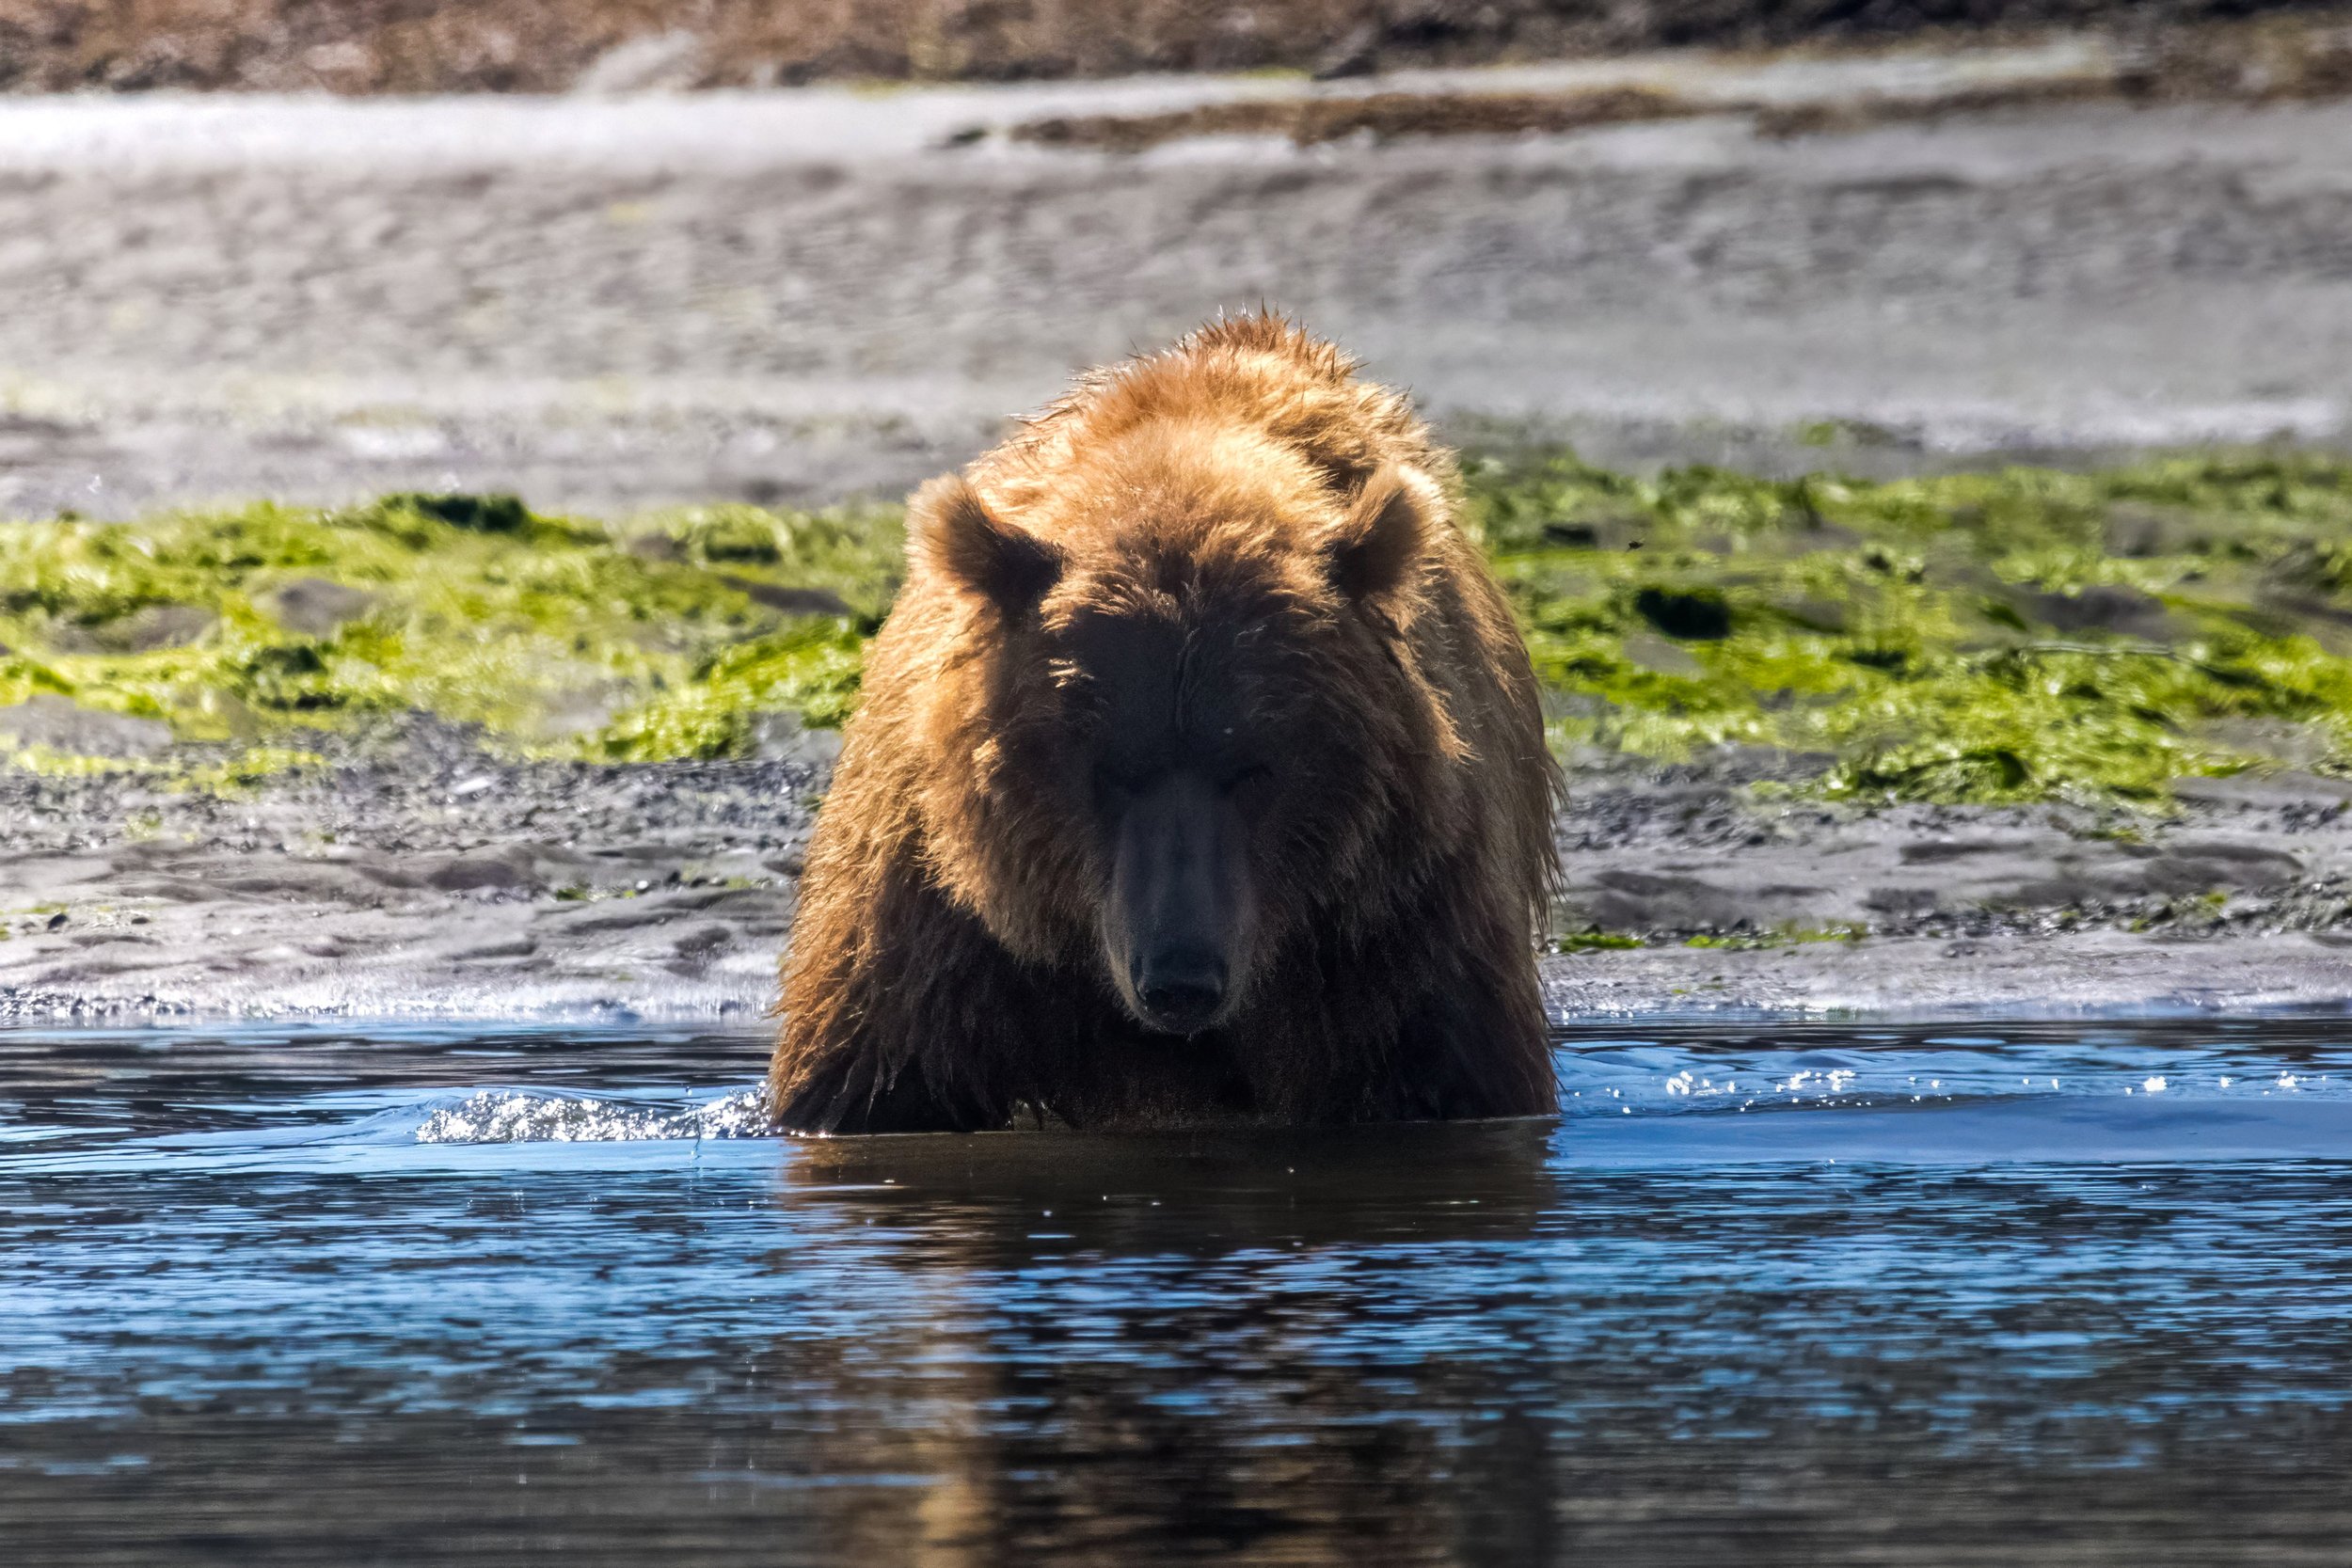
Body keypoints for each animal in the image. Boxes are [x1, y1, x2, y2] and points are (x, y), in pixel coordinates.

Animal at [769, 314, 1560, 1133]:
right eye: (1105, 766)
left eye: (1255, 767)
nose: (1180, 976)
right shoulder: (943, 920)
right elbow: (878, 1078)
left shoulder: (1399, 920)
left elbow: (1446, 1068)